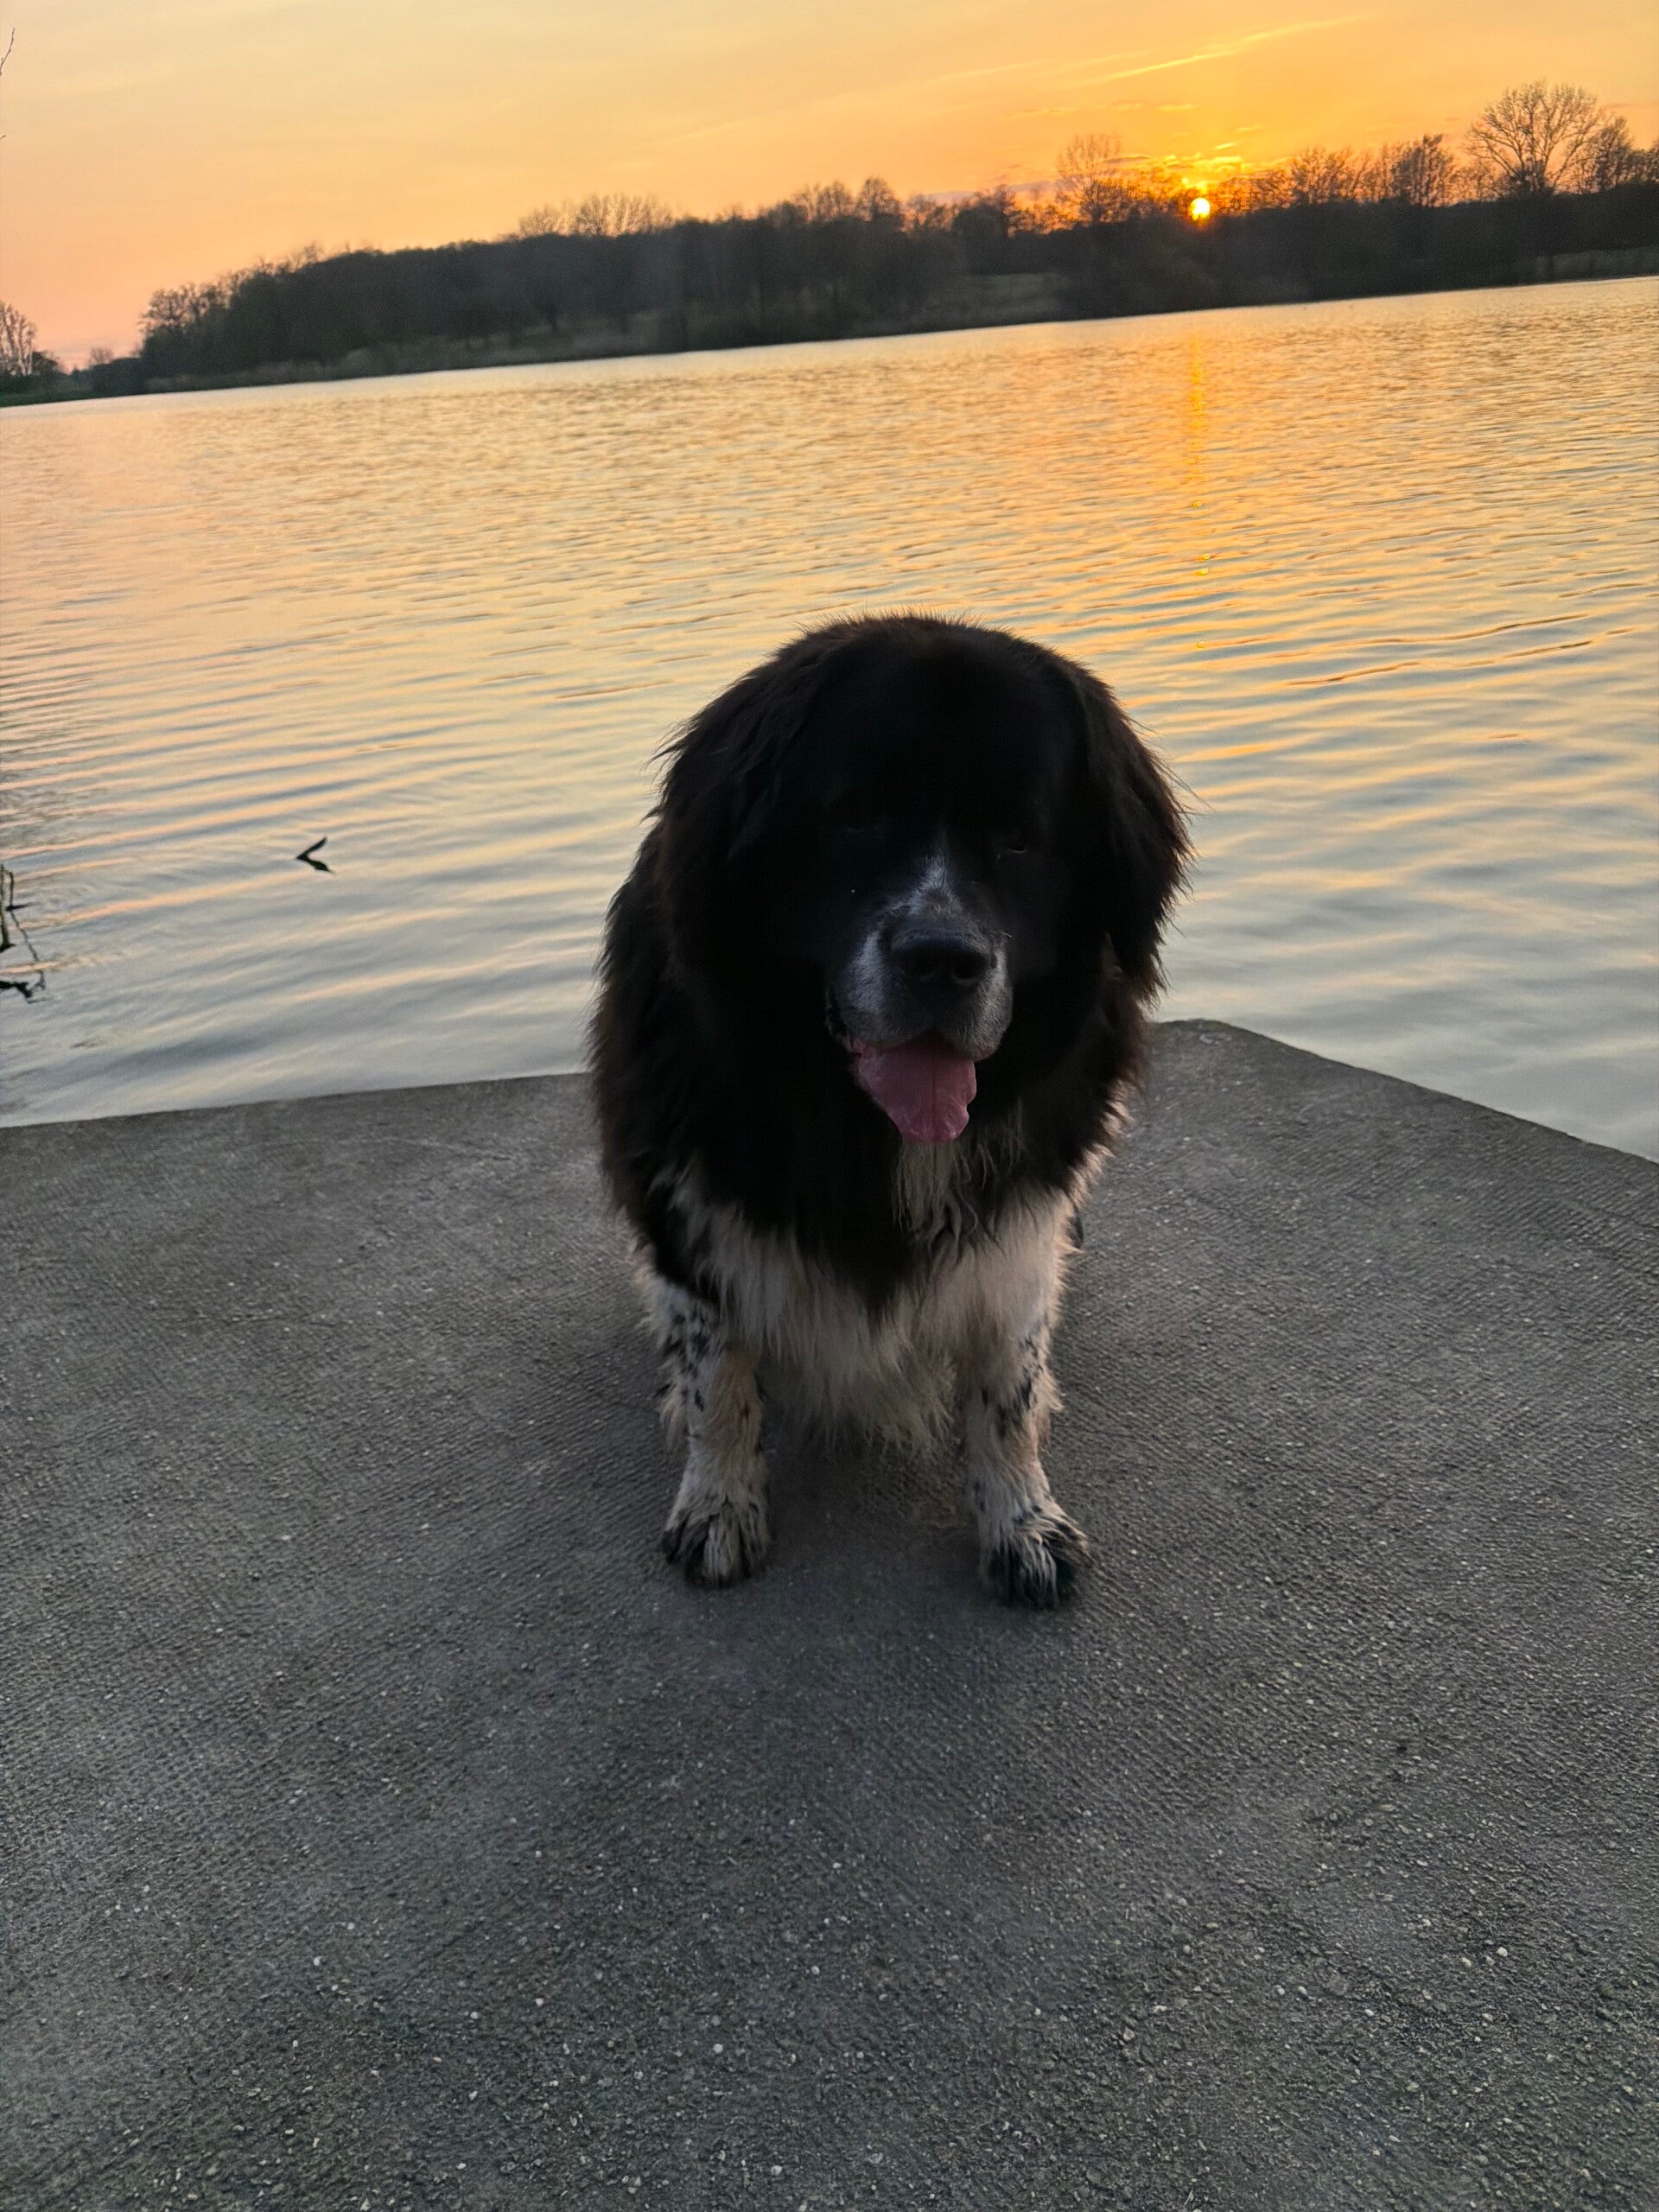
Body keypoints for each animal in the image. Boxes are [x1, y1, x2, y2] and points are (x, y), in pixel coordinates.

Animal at [591, 615, 1187, 1604]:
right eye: (856, 816)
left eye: (1020, 838)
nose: (943, 959)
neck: (858, 1120)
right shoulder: (689, 1199)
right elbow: (720, 1374)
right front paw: (719, 1505)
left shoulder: (1018, 1223)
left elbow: (1007, 1387)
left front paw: (1022, 1522)